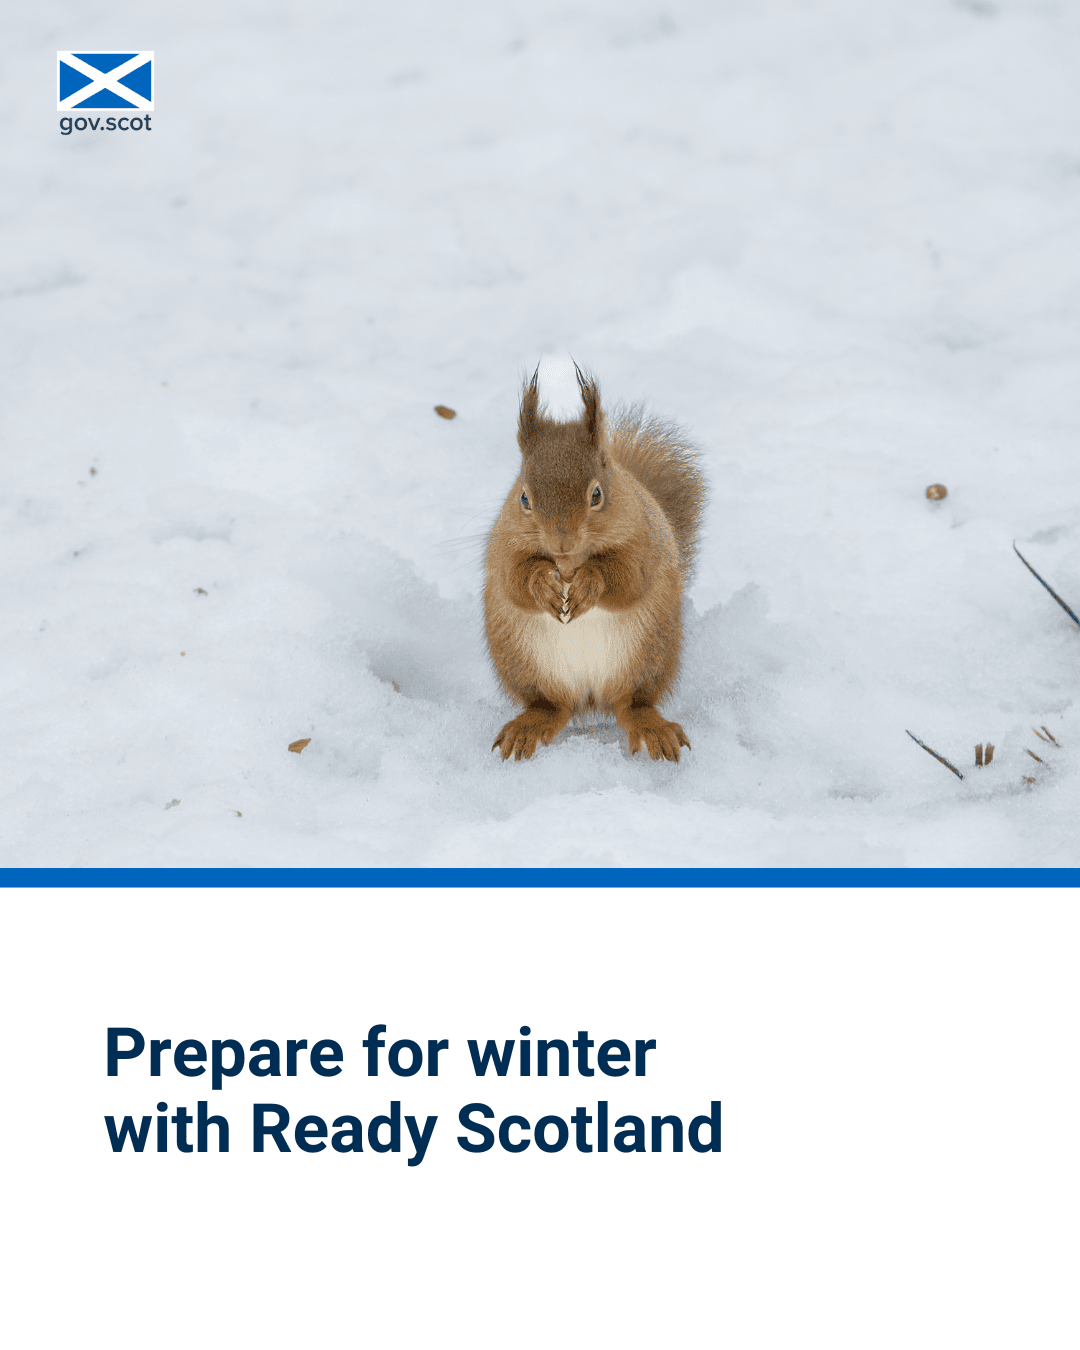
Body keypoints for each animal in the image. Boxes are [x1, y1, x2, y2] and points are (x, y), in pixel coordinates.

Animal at [484, 365, 705, 762]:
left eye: (597, 495)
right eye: (523, 498)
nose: (562, 543)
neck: (569, 564)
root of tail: (589, 699)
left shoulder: (643, 541)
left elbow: (628, 577)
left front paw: (589, 583)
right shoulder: (503, 545)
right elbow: (515, 578)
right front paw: (543, 583)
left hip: (649, 656)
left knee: (631, 703)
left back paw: (650, 726)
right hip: (524, 663)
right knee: (551, 706)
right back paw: (529, 727)